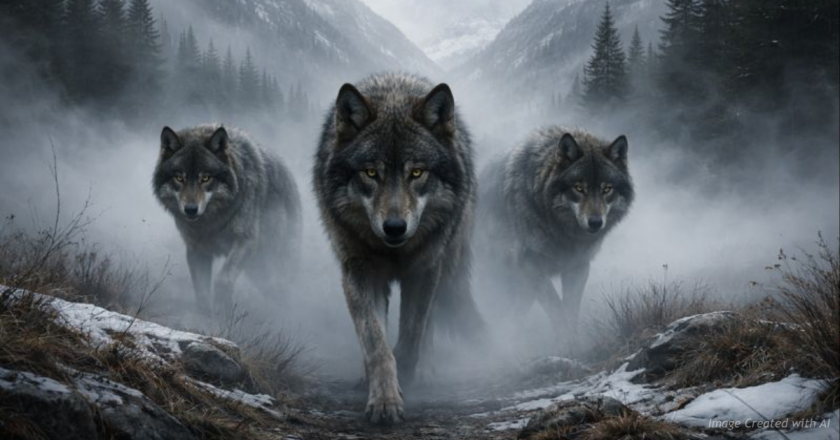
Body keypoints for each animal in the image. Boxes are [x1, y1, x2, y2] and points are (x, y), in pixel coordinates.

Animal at [153, 124, 301, 313]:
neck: (211, 222)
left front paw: (223, 307)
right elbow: (201, 292)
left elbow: (223, 279)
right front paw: (205, 317)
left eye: (205, 178)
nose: (191, 210)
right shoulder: (196, 250)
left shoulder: (246, 241)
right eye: (179, 178)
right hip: (258, 269)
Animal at [313, 73, 484, 424]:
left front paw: (408, 373)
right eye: (371, 172)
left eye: (416, 172)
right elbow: (376, 344)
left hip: (445, 264)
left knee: (428, 326)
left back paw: (427, 371)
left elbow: (413, 334)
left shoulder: (424, 271)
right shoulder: (359, 272)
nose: (394, 227)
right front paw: (384, 400)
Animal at [476, 127, 634, 337]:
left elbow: (571, 310)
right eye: (579, 188)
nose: (595, 223)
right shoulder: (532, 267)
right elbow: (556, 308)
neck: (563, 235)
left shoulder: (578, 267)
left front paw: (573, 341)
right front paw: (565, 340)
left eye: (607, 189)